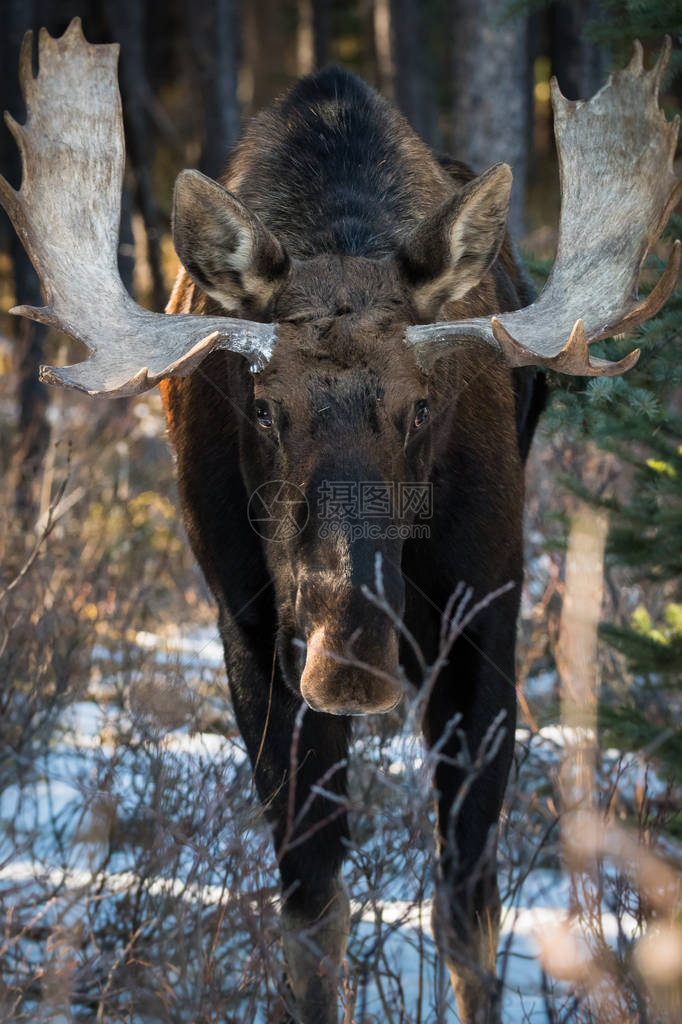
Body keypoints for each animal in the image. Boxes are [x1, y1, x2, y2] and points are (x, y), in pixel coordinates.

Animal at [2, 19, 675, 1024]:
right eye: (263, 407)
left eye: (422, 405)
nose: (349, 658)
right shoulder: (245, 624)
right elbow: (313, 911)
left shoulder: (490, 605)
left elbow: (469, 909)